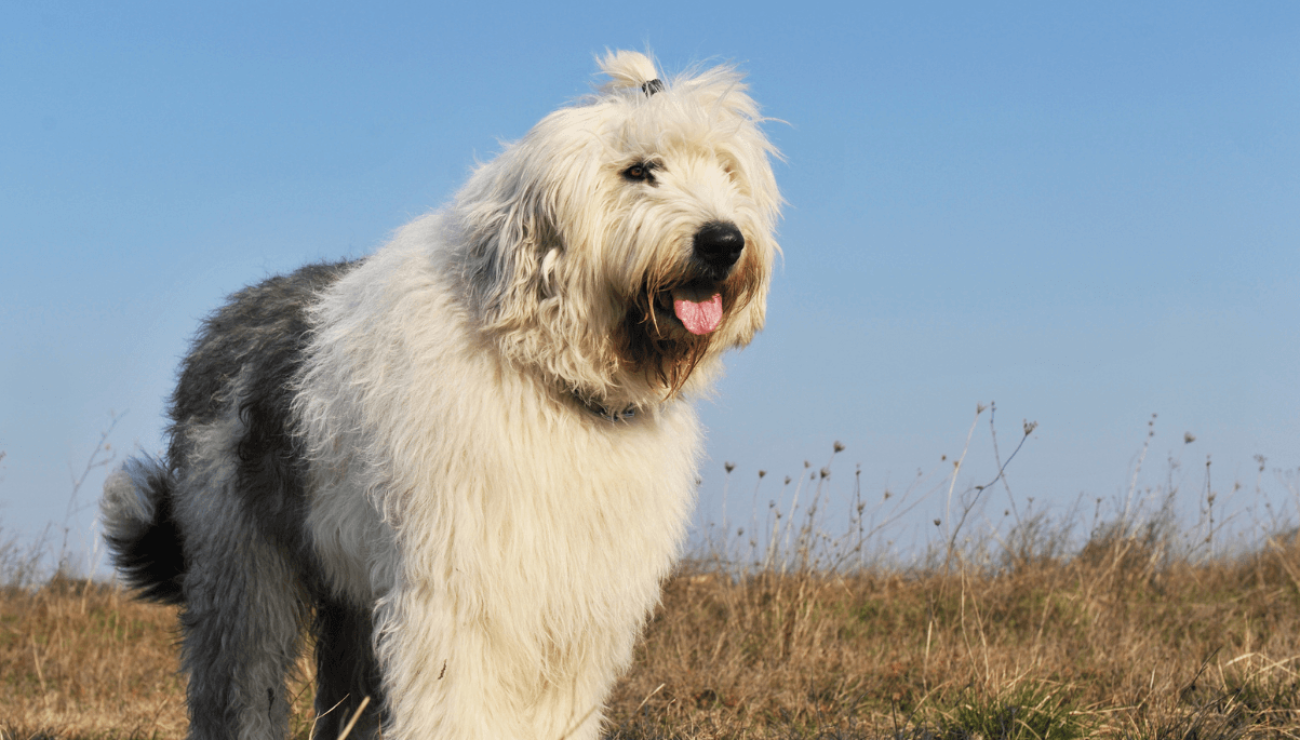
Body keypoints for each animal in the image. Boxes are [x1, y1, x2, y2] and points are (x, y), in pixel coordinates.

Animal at [101, 52, 774, 738]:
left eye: (726, 170)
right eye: (639, 170)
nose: (723, 242)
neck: (548, 373)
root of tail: (228, 313)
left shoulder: (576, 608)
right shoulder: (462, 595)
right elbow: (458, 700)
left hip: (351, 591)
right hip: (241, 562)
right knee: (242, 677)